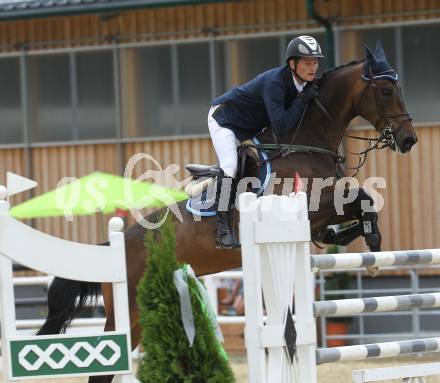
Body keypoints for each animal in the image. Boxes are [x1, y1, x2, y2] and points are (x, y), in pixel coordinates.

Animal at [37, 43, 416, 382]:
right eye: (385, 91)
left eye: (399, 88)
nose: (408, 140)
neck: (306, 142)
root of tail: (109, 250)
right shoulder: (309, 206)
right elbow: (361, 198)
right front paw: (374, 244)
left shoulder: (320, 215)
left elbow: (357, 209)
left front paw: (354, 240)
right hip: (126, 313)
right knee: (102, 368)